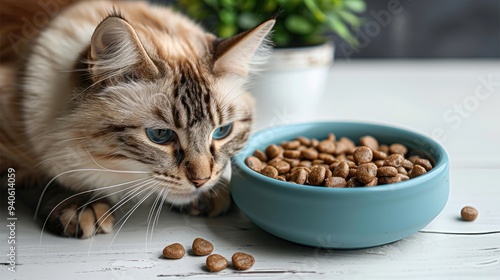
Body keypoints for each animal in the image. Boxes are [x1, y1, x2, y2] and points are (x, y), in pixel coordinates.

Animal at [0, 0, 276, 238]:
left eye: (222, 131)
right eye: (160, 135)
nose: (201, 181)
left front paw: (212, 193)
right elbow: (44, 175)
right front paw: (81, 204)